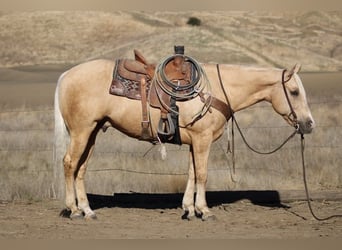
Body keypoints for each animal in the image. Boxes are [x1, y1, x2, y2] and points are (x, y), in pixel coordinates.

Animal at [54, 58, 316, 221]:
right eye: (294, 92)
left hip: (92, 132)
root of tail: (66, 74)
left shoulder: (195, 142)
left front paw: (189, 209)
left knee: (81, 168)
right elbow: (202, 174)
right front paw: (204, 210)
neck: (216, 90)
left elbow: (192, 173)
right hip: (81, 131)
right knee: (69, 163)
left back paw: (87, 210)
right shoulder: (203, 140)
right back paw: (73, 210)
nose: (309, 124)